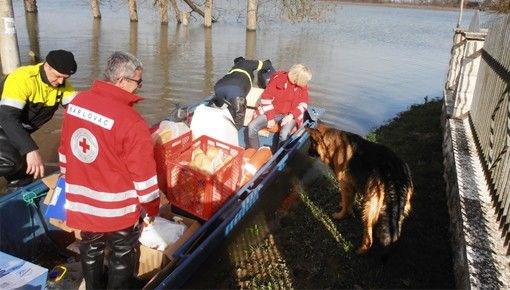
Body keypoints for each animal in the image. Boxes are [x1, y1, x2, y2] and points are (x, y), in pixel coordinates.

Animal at [304, 122, 412, 254]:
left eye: (311, 143)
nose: (307, 153)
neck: (335, 144)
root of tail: (395, 174)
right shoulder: (351, 186)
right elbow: (348, 202)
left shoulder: (344, 186)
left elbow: (345, 204)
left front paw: (341, 215)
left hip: (368, 207)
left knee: (369, 238)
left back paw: (361, 250)